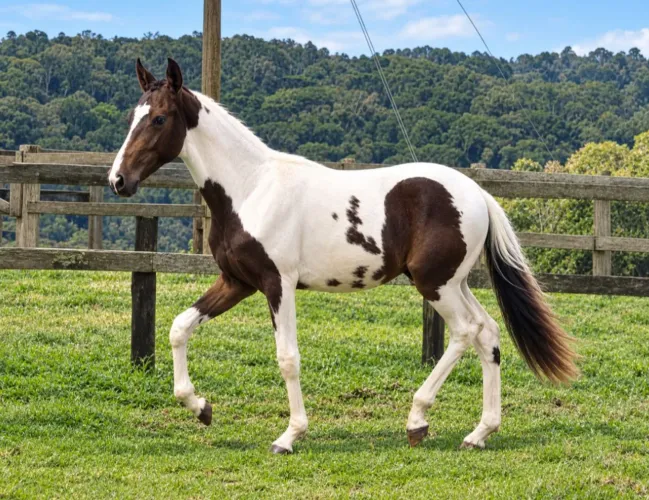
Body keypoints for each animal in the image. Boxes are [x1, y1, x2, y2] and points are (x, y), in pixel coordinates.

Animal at [108, 58, 578, 454]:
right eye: (132, 117)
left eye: (159, 118)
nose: (118, 181)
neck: (251, 188)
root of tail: (478, 193)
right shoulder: (237, 282)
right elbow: (179, 327)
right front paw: (201, 407)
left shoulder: (278, 284)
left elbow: (288, 358)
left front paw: (289, 436)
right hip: (454, 282)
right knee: (488, 333)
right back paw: (479, 432)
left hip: (436, 284)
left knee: (465, 333)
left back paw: (417, 421)